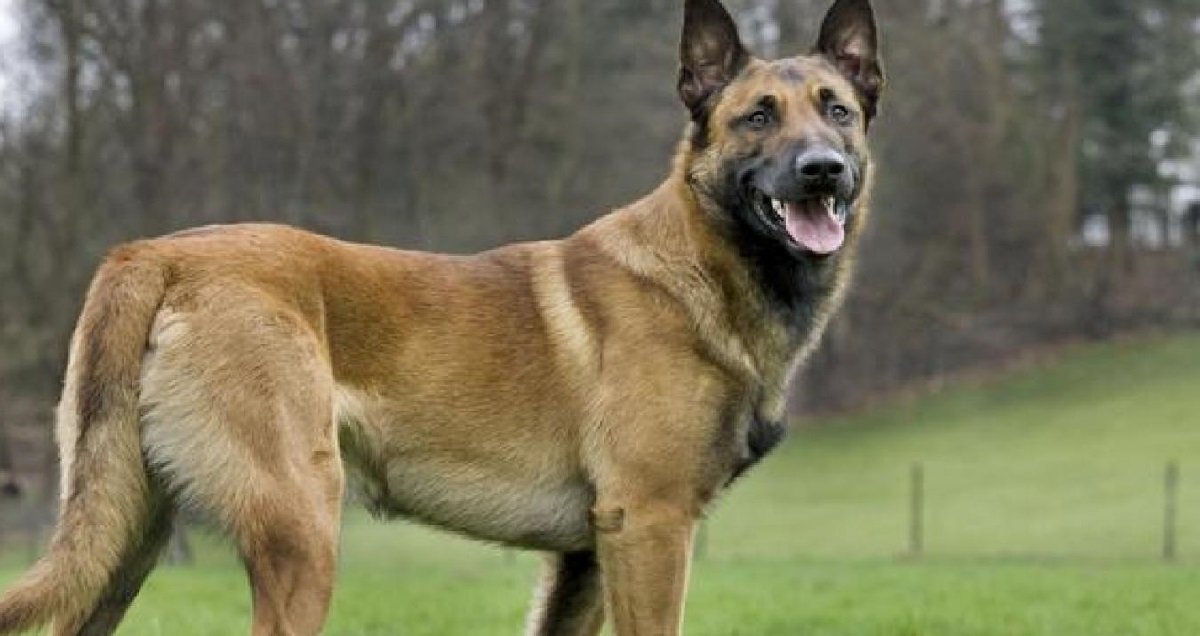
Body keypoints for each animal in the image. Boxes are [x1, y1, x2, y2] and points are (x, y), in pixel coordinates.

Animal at [0, 2, 883, 628]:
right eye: (757, 116)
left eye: (836, 110)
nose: (823, 172)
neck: (704, 264)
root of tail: (153, 253)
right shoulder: (651, 527)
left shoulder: (586, 557)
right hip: (302, 531)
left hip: (124, 541)